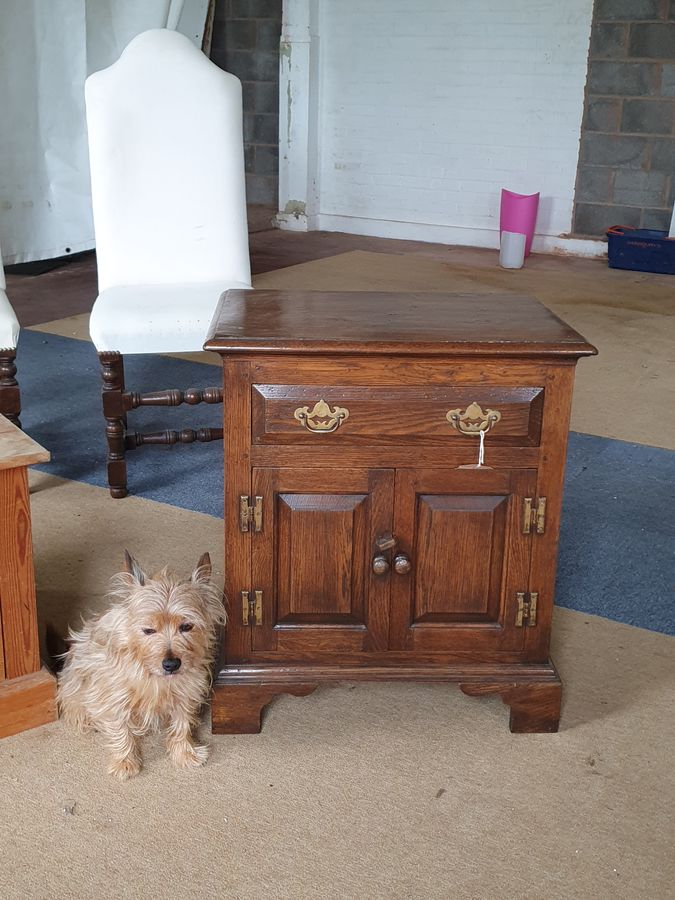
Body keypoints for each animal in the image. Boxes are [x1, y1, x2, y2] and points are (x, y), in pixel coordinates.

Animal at [57, 552, 226, 776]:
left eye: (186, 626)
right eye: (148, 630)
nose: (171, 664)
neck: (153, 674)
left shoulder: (186, 692)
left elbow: (182, 724)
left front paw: (184, 753)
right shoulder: (114, 696)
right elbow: (120, 729)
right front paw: (125, 761)